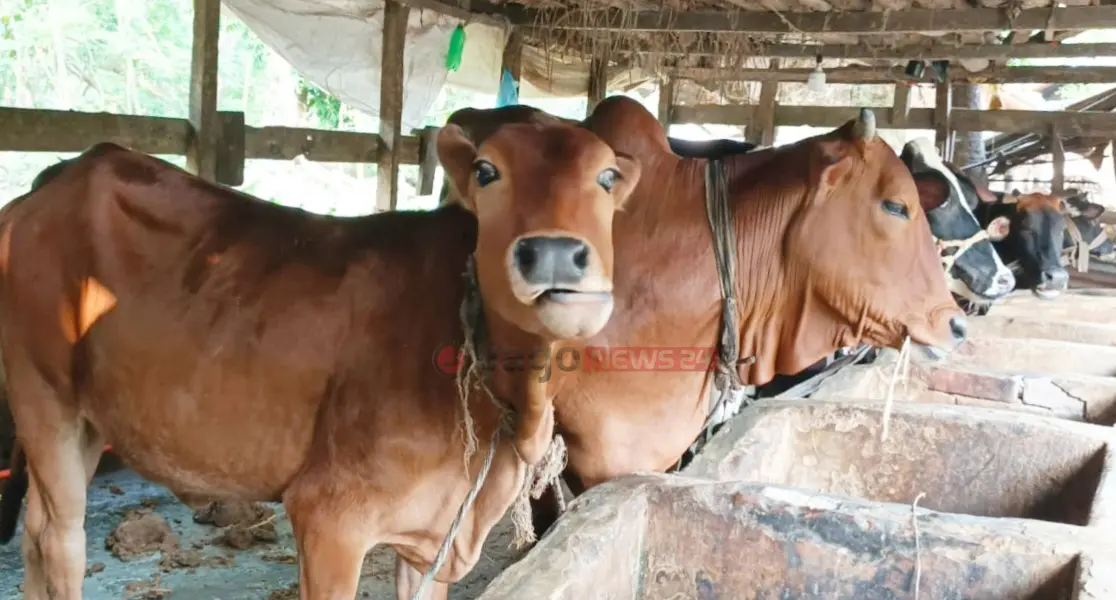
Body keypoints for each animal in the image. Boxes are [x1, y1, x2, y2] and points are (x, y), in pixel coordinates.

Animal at [0, 121, 641, 600]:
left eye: (606, 177)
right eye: (487, 171)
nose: (552, 253)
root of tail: (60, 177)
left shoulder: (432, 533)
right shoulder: (329, 515)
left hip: (88, 418)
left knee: (34, 534)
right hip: (43, 397)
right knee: (60, 540)